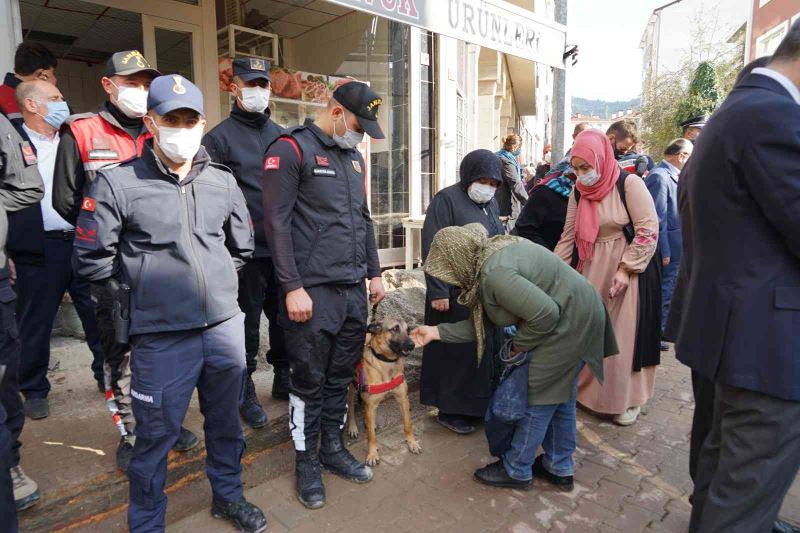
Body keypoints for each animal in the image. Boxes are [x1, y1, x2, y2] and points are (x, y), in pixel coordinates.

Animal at [346, 318, 422, 464]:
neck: (386, 362)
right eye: (395, 328)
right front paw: (372, 454)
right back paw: (353, 428)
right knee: (351, 409)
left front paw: (412, 443)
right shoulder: (371, 404)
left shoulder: (403, 399)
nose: (412, 345)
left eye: (408, 330)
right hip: (351, 389)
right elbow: (371, 436)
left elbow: (408, 423)